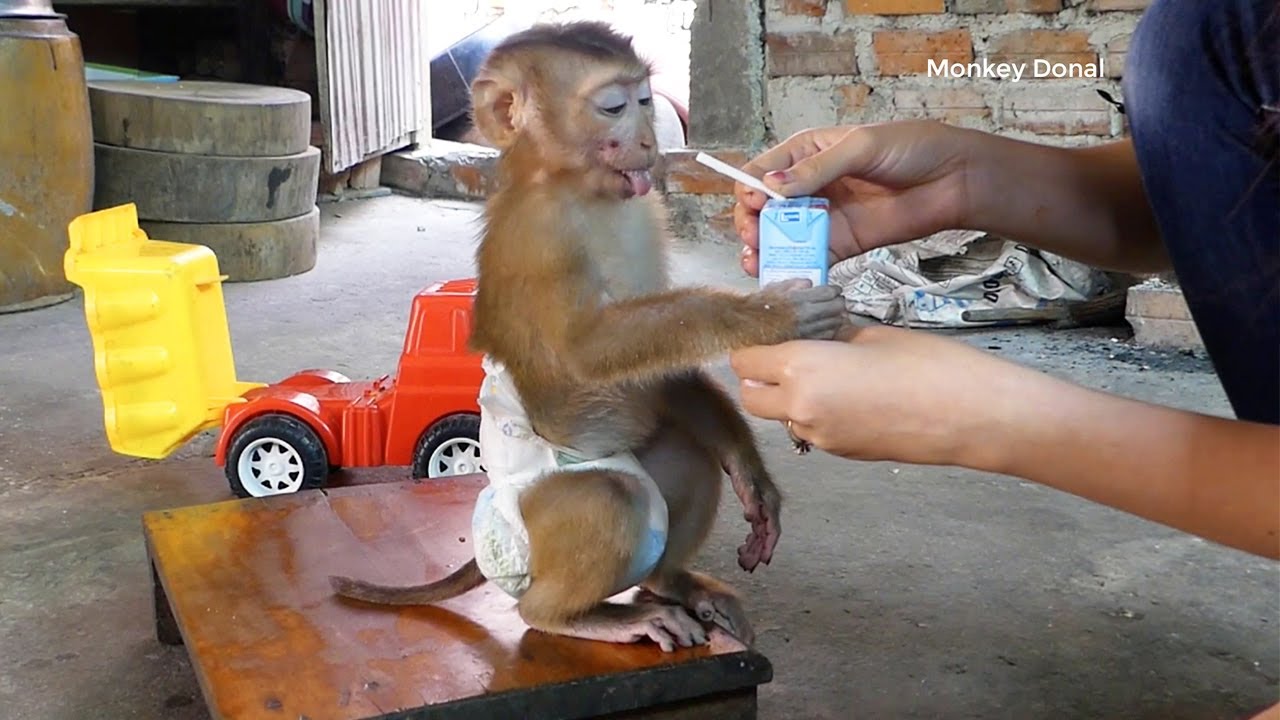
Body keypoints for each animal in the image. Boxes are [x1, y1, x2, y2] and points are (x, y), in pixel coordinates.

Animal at [329, 20, 847, 652]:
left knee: (684, 453)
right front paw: (772, 312)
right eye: (614, 107)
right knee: (611, 499)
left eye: (646, 101)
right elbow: (584, 351)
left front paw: (750, 472)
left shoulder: (646, 211)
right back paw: (571, 615)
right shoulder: (542, 234)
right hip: (530, 528)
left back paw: (670, 582)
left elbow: (664, 370)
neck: (580, 189)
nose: (649, 142)